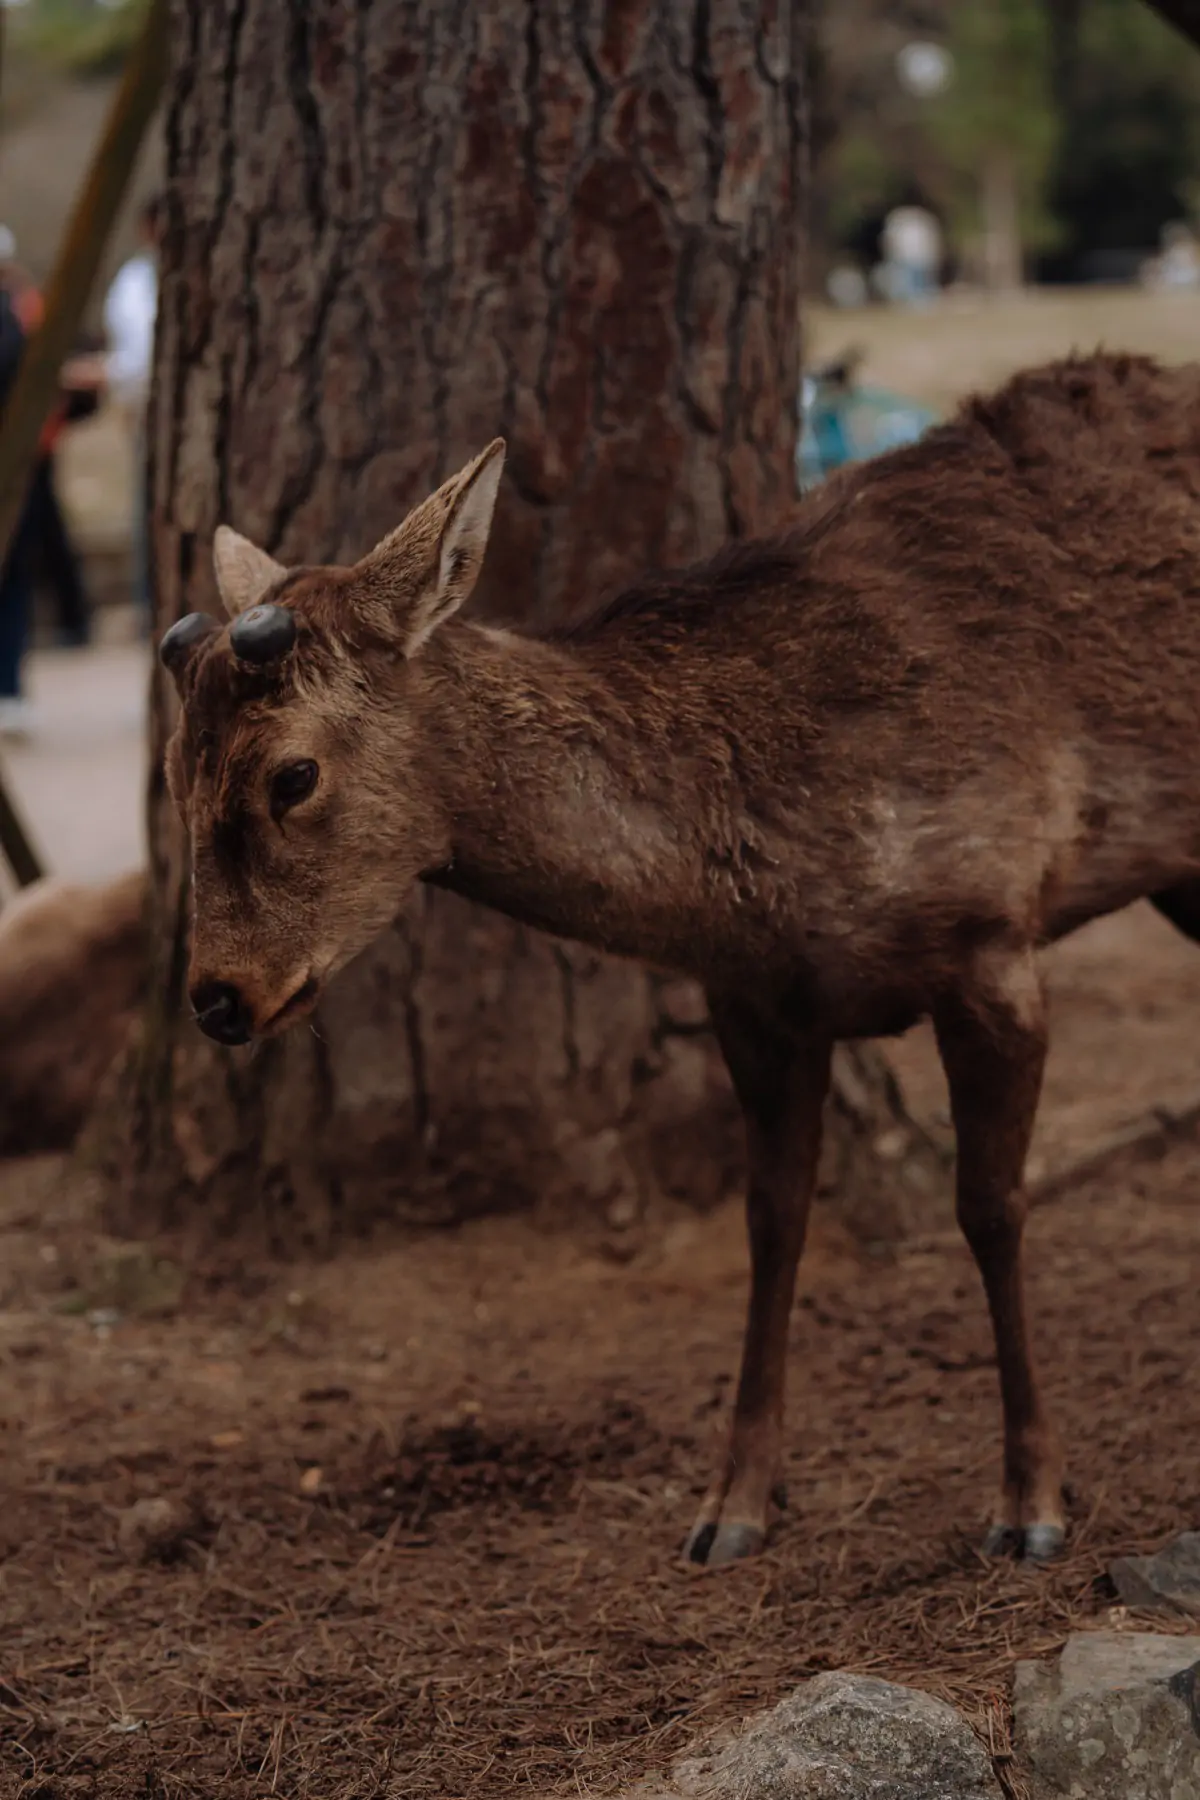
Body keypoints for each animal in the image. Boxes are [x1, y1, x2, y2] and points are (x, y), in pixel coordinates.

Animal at [166, 347, 1200, 1562]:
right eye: (176, 767)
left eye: (292, 774)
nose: (219, 996)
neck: (759, 876)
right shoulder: (755, 1003)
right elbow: (772, 1223)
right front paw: (733, 1506)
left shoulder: (990, 933)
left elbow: (992, 1210)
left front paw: (1032, 1503)